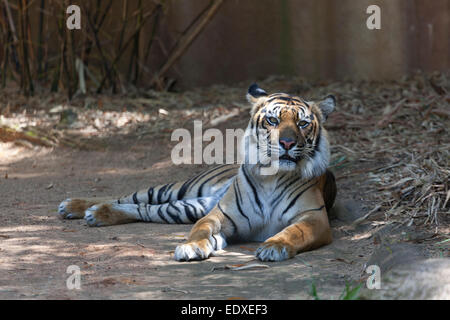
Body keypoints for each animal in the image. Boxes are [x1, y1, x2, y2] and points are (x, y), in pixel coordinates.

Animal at [58, 85, 336, 262]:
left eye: (302, 123)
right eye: (273, 121)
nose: (287, 143)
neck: (272, 177)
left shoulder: (314, 218)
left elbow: (293, 232)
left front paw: (275, 246)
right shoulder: (218, 215)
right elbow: (200, 230)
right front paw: (190, 247)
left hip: (184, 208)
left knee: (144, 209)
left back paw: (96, 214)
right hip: (179, 189)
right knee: (131, 196)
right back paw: (75, 206)